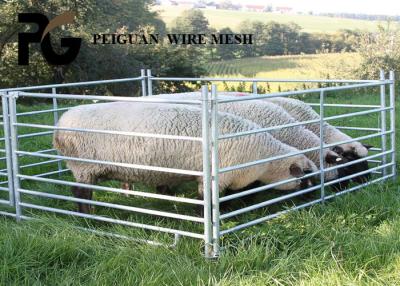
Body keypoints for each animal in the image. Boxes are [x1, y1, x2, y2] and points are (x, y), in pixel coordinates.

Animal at [54, 102, 318, 212]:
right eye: (306, 178)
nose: (314, 200)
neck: (265, 158)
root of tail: (59, 126)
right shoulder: (216, 177)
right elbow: (208, 202)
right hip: (84, 166)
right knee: (81, 192)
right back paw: (89, 217)